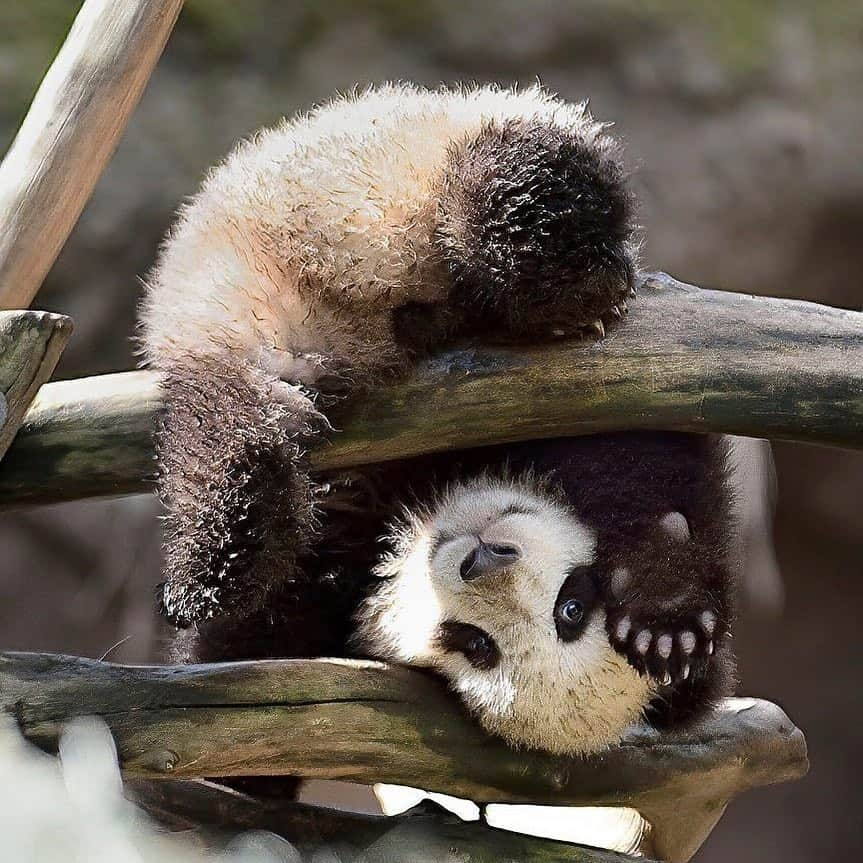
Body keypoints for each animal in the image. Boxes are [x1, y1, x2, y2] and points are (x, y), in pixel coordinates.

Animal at [142, 81, 736, 756]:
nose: (484, 558)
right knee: (517, 197)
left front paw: (662, 609)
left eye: (569, 610)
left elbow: (649, 453)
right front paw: (665, 611)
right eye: (474, 644)